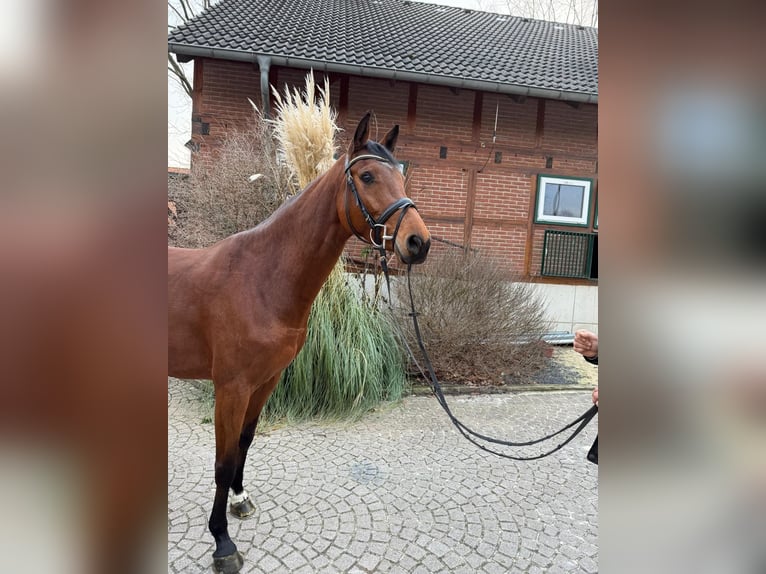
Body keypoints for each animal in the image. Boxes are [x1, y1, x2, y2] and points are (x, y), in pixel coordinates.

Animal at [168, 112, 431, 573]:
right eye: (366, 176)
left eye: (402, 175)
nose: (418, 242)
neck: (260, 278)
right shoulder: (231, 388)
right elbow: (222, 461)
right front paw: (222, 542)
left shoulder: (265, 381)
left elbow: (244, 443)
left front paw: (240, 500)